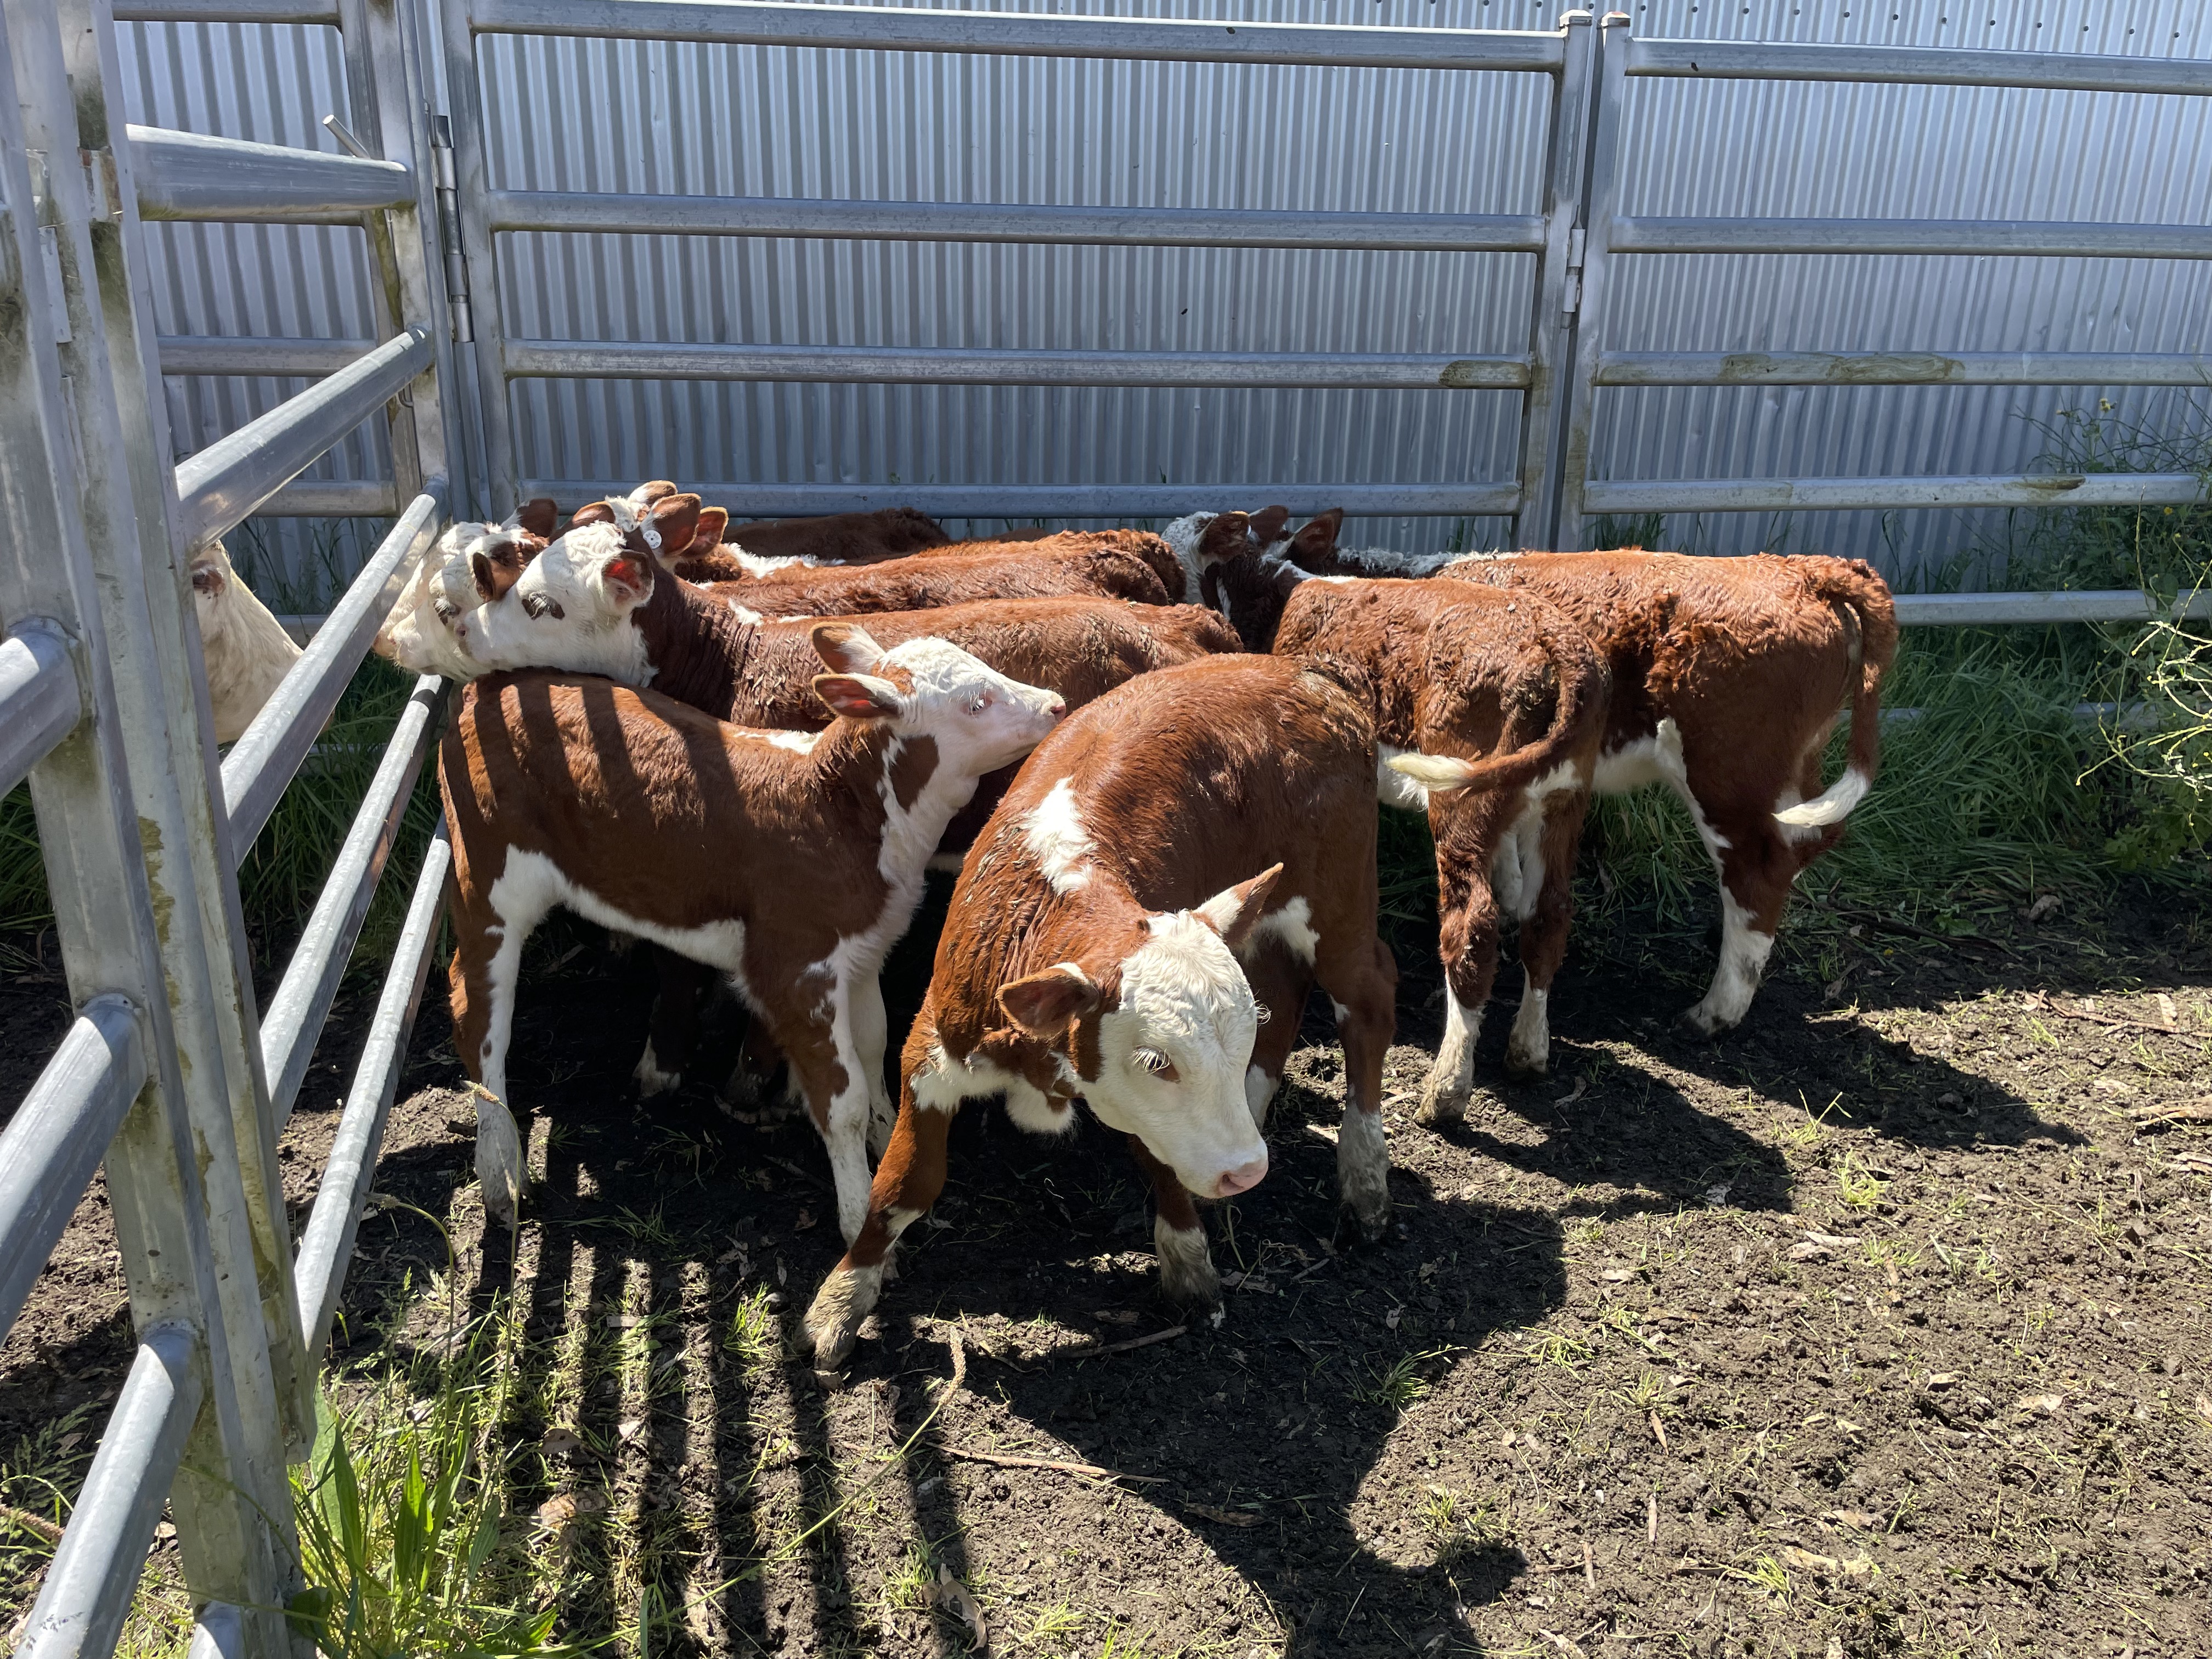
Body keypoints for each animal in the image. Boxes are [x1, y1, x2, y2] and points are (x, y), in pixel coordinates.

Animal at [802, 654, 1401, 1370]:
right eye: (1156, 1062)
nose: (1246, 1170)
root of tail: (1303, 673)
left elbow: (1159, 1158)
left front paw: (1189, 1266)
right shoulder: (932, 1047)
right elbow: (903, 1185)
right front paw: (842, 1300)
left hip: (1339, 896)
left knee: (1368, 1002)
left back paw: (1364, 1181)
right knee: (1286, 990)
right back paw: (1256, 1116)